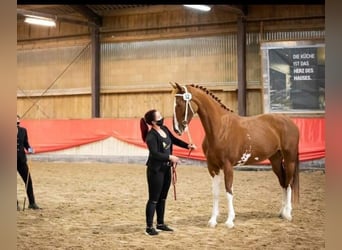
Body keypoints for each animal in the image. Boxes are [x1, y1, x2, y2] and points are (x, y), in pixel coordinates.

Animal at [171, 82, 300, 229]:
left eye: (179, 104)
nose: (177, 129)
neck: (220, 129)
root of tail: (289, 121)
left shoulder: (228, 166)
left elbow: (228, 191)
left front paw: (229, 221)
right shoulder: (212, 167)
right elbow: (215, 193)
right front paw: (213, 220)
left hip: (289, 159)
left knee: (289, 182)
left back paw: (288, 214)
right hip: (275, 160)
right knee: (283, 182)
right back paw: (281, 212)